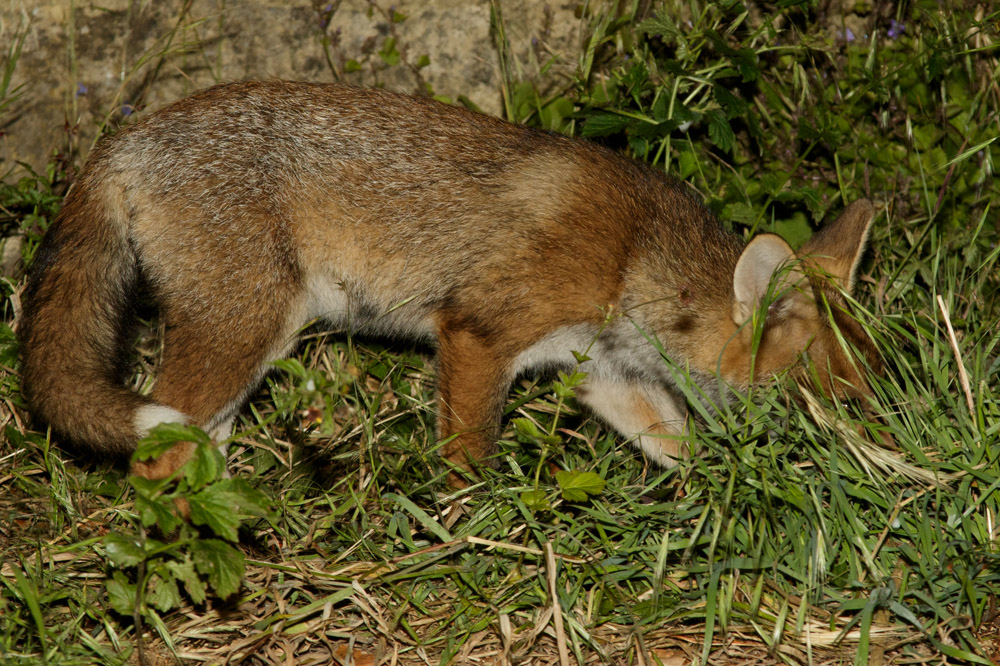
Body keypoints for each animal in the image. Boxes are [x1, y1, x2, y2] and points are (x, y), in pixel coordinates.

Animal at [19, 80, 880, 485]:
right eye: (831, 398)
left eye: (869, 387)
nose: (883, 452)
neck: (631, 256)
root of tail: (127, 135)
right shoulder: (478, 334)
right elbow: (470, 465)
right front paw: (479, 537)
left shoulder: (600, 374)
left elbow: (681, 447)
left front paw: (724, 500)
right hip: (247, 328)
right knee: (157, 456)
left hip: (243, 345)